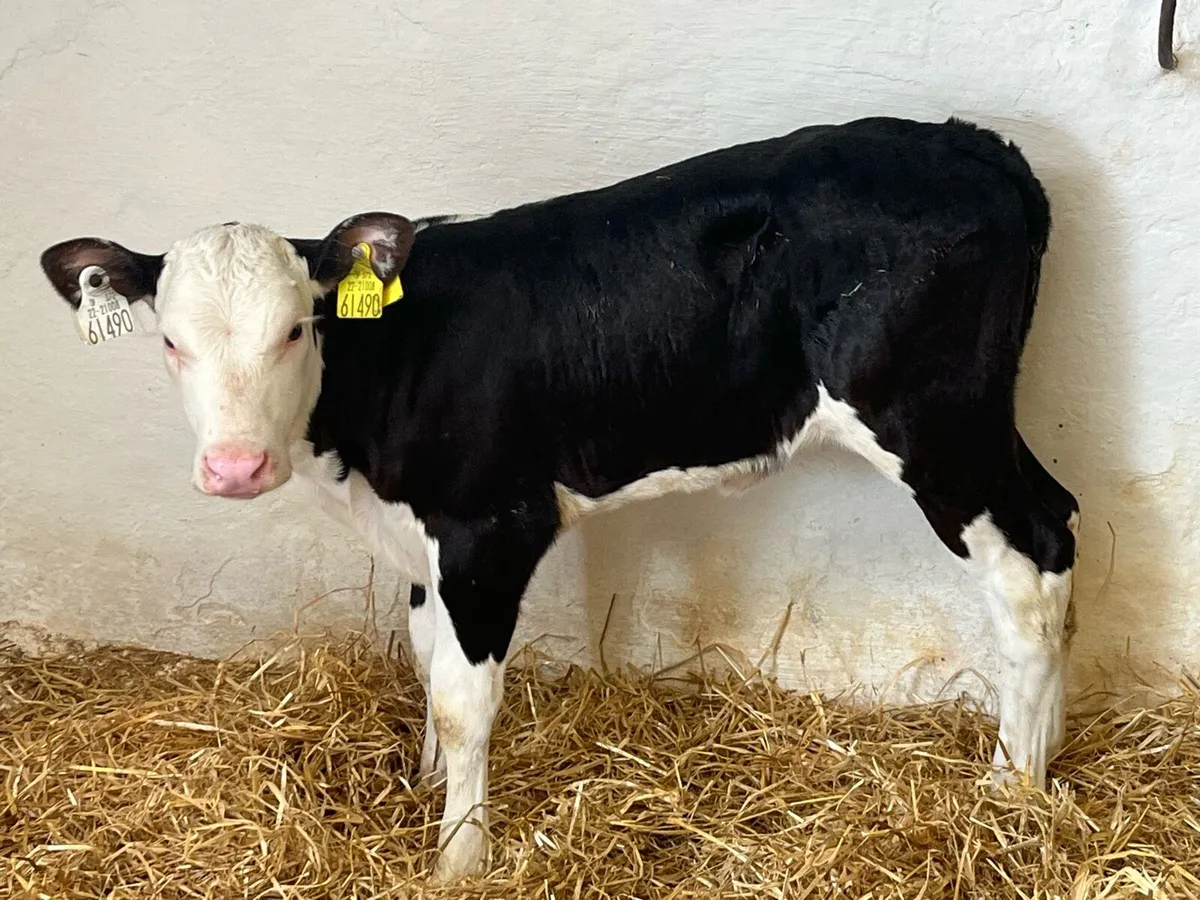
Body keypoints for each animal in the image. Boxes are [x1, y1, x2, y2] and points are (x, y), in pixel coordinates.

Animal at [40, 116, 1078, 881]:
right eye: (169, 340)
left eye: (298, 328)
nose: (234, 468)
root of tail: (972, 144)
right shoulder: (421, 536)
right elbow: (426, 656)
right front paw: (425, 792)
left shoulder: (489, 525)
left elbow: (465, 699)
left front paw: (459, 857)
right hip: (975, 418)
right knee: (1061, 522)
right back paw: (1049, 751)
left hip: (933, 418)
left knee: (1026, 568)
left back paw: (1010, 790)